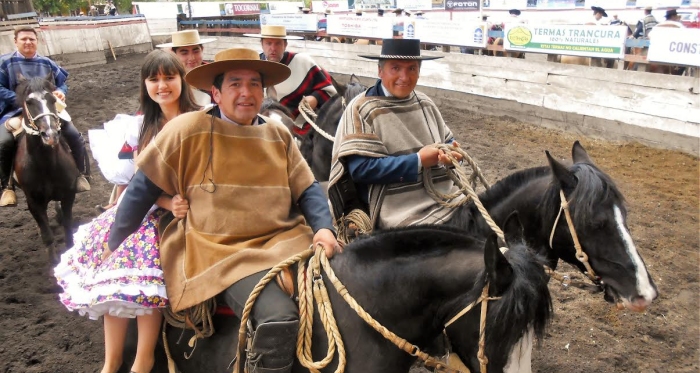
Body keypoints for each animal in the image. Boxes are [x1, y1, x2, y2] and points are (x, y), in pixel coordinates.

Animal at [11, 75, 79, 262]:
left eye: (53, 99)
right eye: (29, 102)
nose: (50, 135)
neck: (46, 164)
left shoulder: (68, 194)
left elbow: (68, 226)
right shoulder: (34, 202)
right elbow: (47, 235)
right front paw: (55, 262)